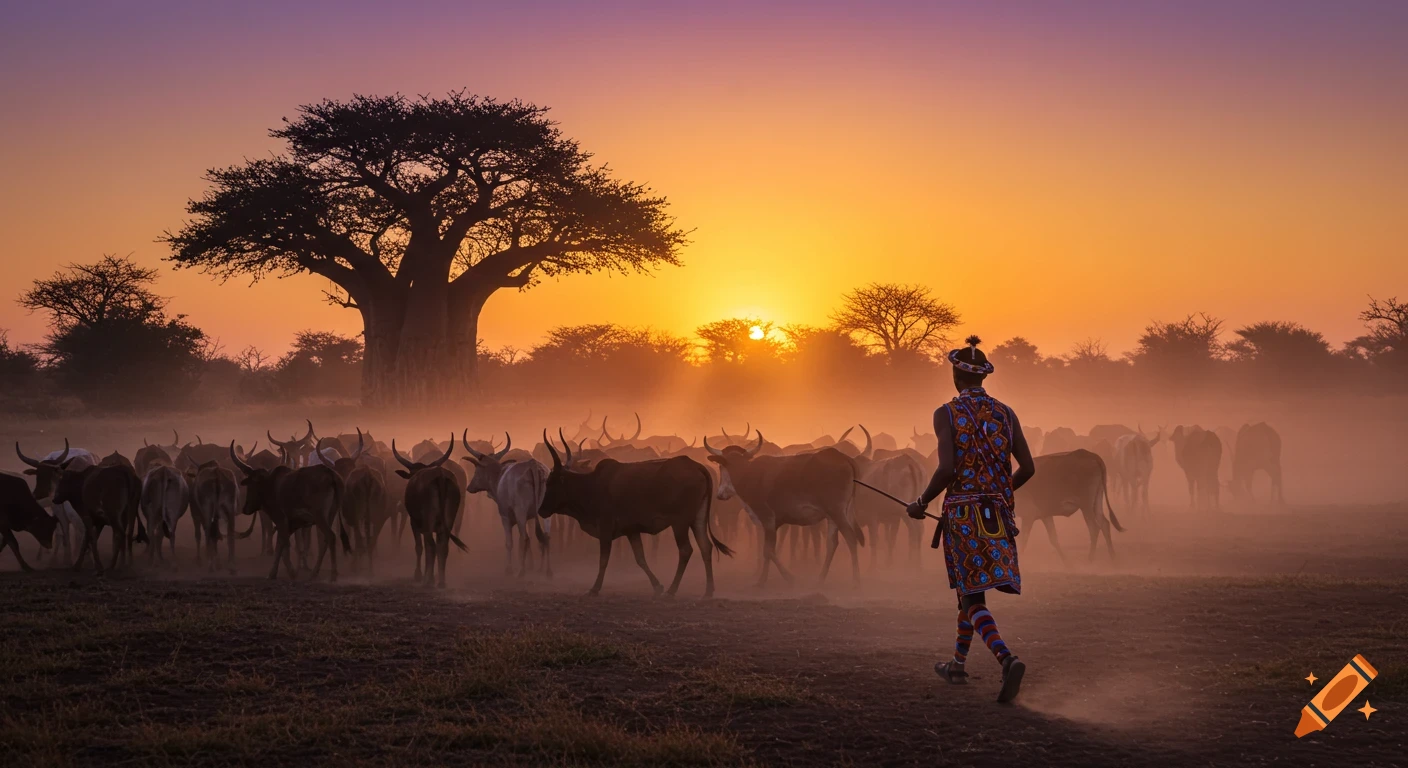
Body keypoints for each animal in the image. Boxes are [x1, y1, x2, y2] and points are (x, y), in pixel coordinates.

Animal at [231, 443, 346, 581]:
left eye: (251, 485)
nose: (245, 508)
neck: (271, 485)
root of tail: (331, 475)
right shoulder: (292, 524)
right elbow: (282, 545)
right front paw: (279, 572)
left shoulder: (281, 520)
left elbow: (283, 545)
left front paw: (288, 571)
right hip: (331, 515)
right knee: (325, 540)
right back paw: (314, 572)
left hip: (320, 517)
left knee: (330, 536)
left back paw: (332, 574)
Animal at [390, 438, 467, 587]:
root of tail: (440, 476)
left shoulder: (415, 524)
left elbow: (420, 547)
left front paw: (419, 574)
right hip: (448, 520)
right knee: (443, 547)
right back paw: (441, 581)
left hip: (428, 520)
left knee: (431, 546)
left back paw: (429, 580)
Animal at [462, 432, 552, 578]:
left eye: (477, 469)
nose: (469, 487)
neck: (500, 477)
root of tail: (533, 465)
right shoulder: (530, 518)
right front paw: (529, 565)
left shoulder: (505, 516)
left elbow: (510, 543)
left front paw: (509, 568)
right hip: (546, 513)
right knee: (546, 537)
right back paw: (548, 571)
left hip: (520, 512)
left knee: (525, 538)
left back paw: (521, 571)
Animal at [541, 430, 732, 597]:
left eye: (550, 482)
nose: (541, 510)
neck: (591, 485)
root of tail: (697, 466)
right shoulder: (631, 530)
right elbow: (640, 558)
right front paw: (657, 586)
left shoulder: (605, 528)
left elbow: (604, 560)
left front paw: (594, 589)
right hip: (698, 518)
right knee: (705, 547)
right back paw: (708, 591)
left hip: (680, 522)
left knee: (686, 550)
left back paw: (672, 590)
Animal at [704, 432, 863, 586]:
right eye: (721, 466)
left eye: (726, 466)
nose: (720, 494)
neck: (751, 476)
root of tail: (840, 456)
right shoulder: (772, 523)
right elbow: (770, 550)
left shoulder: (767, 518)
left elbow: (768, 550)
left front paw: (768, 579)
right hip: (833, 516)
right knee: (832, 543)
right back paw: (821, 578)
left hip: (837, 512)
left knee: (850, 538)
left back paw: (856, 579)